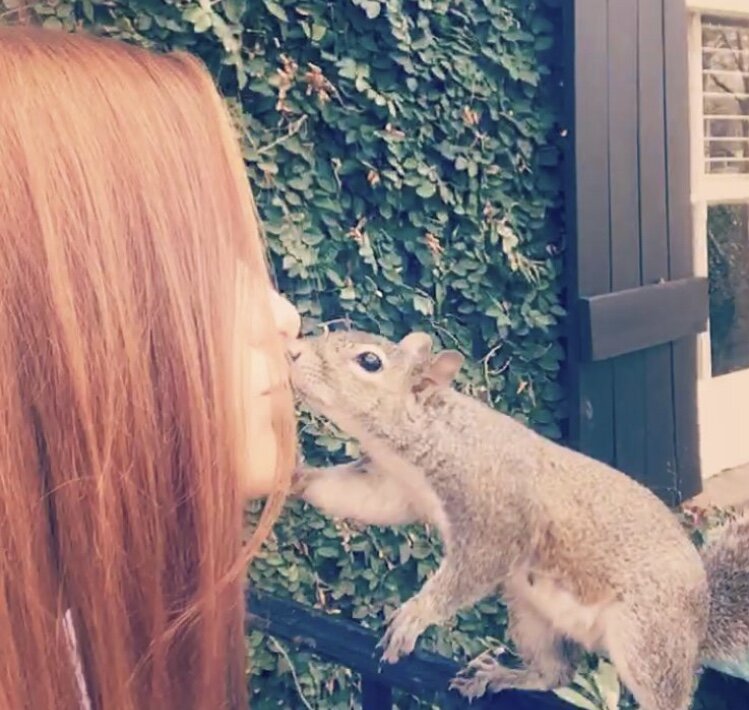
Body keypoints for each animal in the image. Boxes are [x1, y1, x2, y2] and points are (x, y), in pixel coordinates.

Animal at [287, 330, 749, 710]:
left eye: (369, 361)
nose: (292, 351)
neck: (437, 433)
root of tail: (701, 621)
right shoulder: (395, 488)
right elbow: (361, 499)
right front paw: (297, 476)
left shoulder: (496, 520)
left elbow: (472, 569)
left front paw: (415, 615)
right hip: (532, 618)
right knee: (557, 673)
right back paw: (501, 676)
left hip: (648, 640)